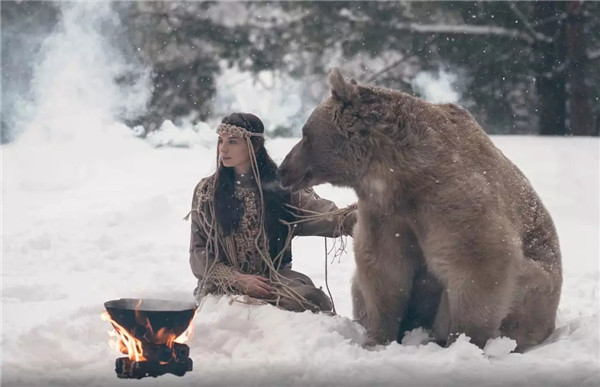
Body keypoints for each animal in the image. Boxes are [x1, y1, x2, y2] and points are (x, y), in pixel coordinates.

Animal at [280, 68, 564, 354]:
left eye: (305, 134)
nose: (283, 169)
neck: (400, 177)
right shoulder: (385, 214)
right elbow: (384, 269)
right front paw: (377, 338)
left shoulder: (450, 199)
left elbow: (479, 261)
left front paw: (464, 340)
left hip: (540, 285)